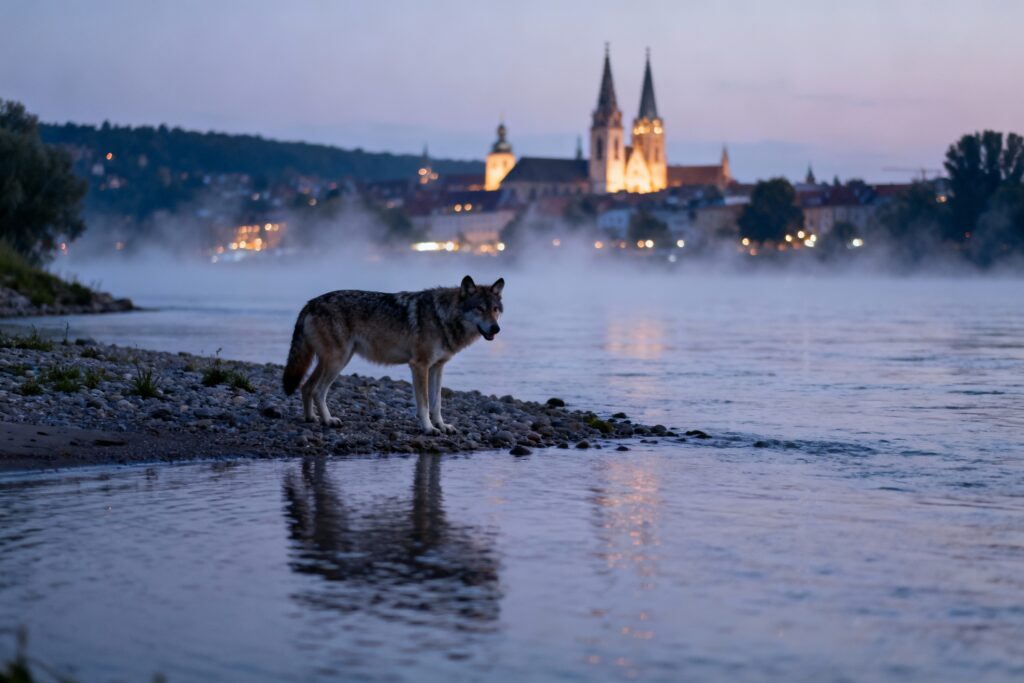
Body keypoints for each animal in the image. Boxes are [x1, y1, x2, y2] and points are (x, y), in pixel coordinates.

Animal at [283, 275, 504, 434]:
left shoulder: (437, 367)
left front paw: (442, 425)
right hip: (338, 361)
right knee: (318, 390)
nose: (496, 328)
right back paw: (328, 420)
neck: (442, 317)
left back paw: (311, 418)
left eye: (495, 309)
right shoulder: (419, 366)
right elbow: (424, 404)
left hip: (333, 361)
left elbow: (437, 403)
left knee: (306, 387)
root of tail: (311, 303)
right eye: (479, 308)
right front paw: (428, 428)